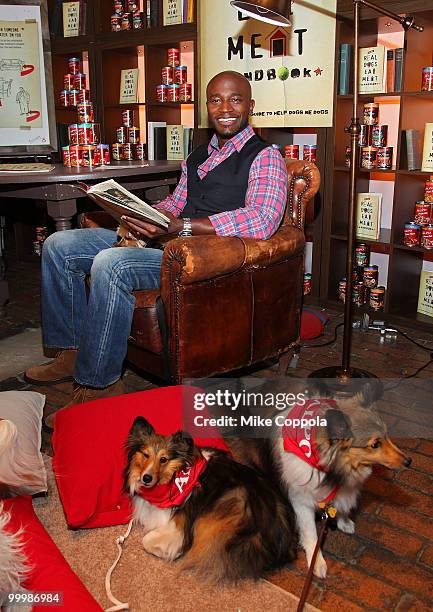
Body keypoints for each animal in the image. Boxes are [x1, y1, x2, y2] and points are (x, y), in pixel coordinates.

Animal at [121, 416, 296, 584]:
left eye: (163, 459)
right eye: (146, 455)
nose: (146, 478)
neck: (176, 478)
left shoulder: (178, 525)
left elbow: (148, 541)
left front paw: (171, 552)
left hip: (230, 501)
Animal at [226, 382, 412, 580]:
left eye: (387, 435)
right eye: (375, 444)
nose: (409, 461)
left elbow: (342, 503)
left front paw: (344, 521)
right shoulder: (301, 502)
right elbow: (311, 534)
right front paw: (317, 562)